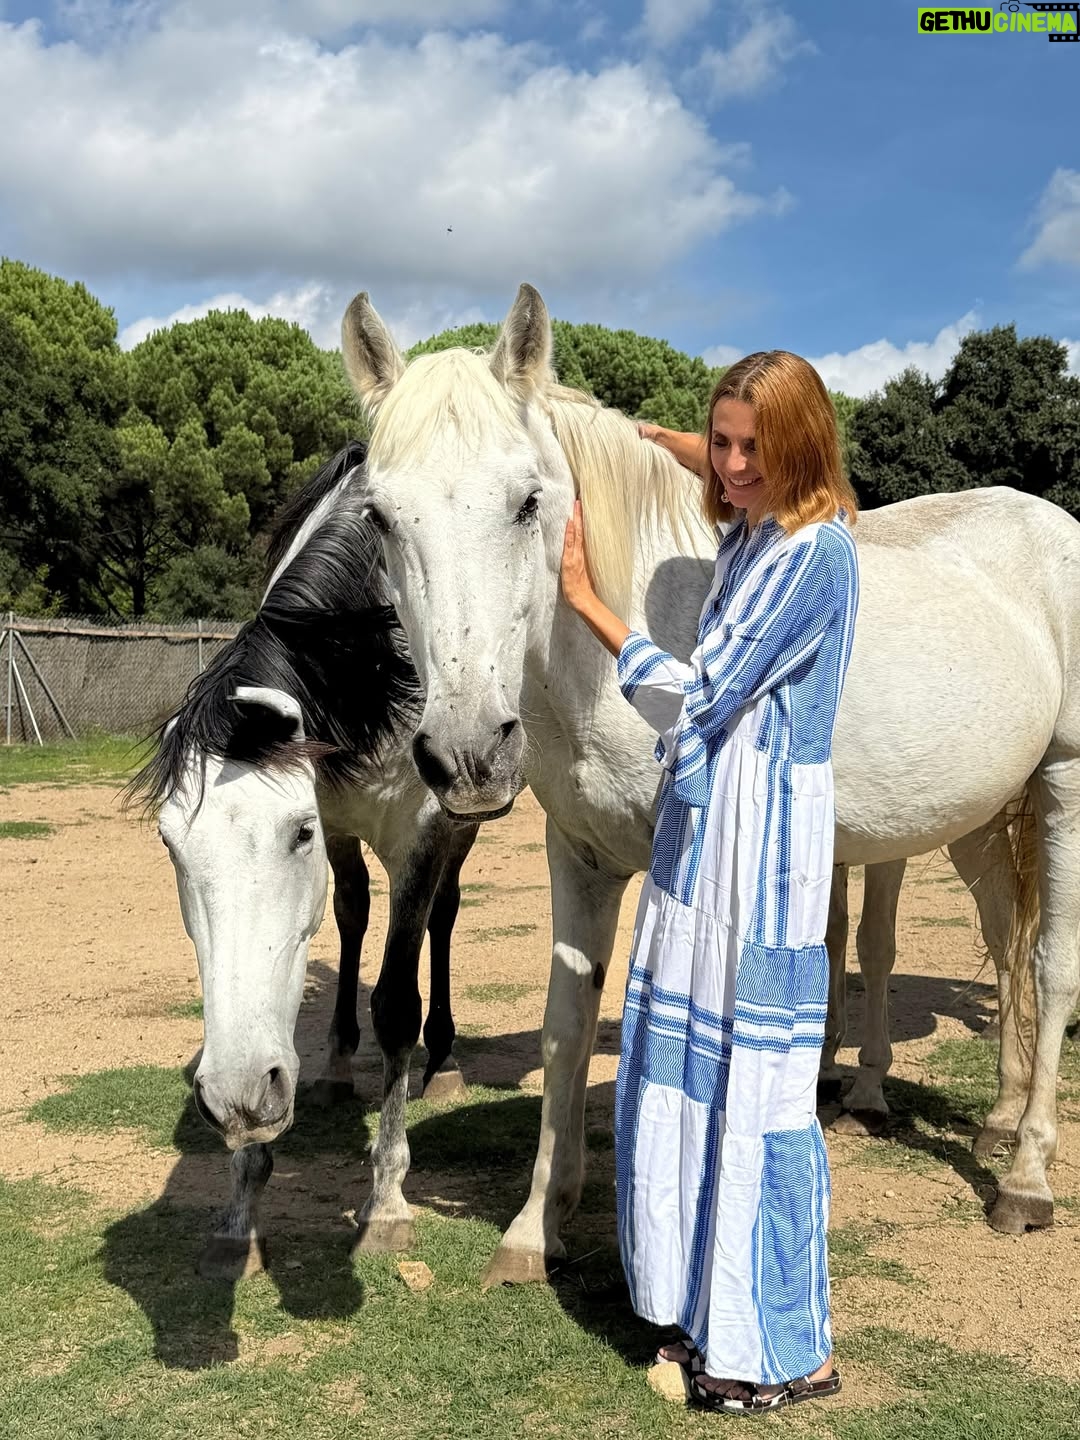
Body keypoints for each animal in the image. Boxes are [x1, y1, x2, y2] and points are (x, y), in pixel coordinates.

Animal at [127, 442, 477, 1276]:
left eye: (296, 833)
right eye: (170, 845)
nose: (238, 1093)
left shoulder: (417, 831)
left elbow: (397, 1003)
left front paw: (386, 1202)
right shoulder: (341, 818)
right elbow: (340, 924)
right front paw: (239, 1211)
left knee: (443, 920)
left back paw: (442, 1060)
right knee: (353, 918)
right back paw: (337, 1064)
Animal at [337, 283, 1078, 1287]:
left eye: (528, 501)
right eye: (379, 516)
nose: (468, 756)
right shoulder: (578, 861)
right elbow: (566, 1027)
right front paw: (534, 1227)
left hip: (1064, 786)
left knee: (1053, 964)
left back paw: (1026, 1177)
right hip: (975, 821)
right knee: (1008, 943)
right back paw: (998, 1120)